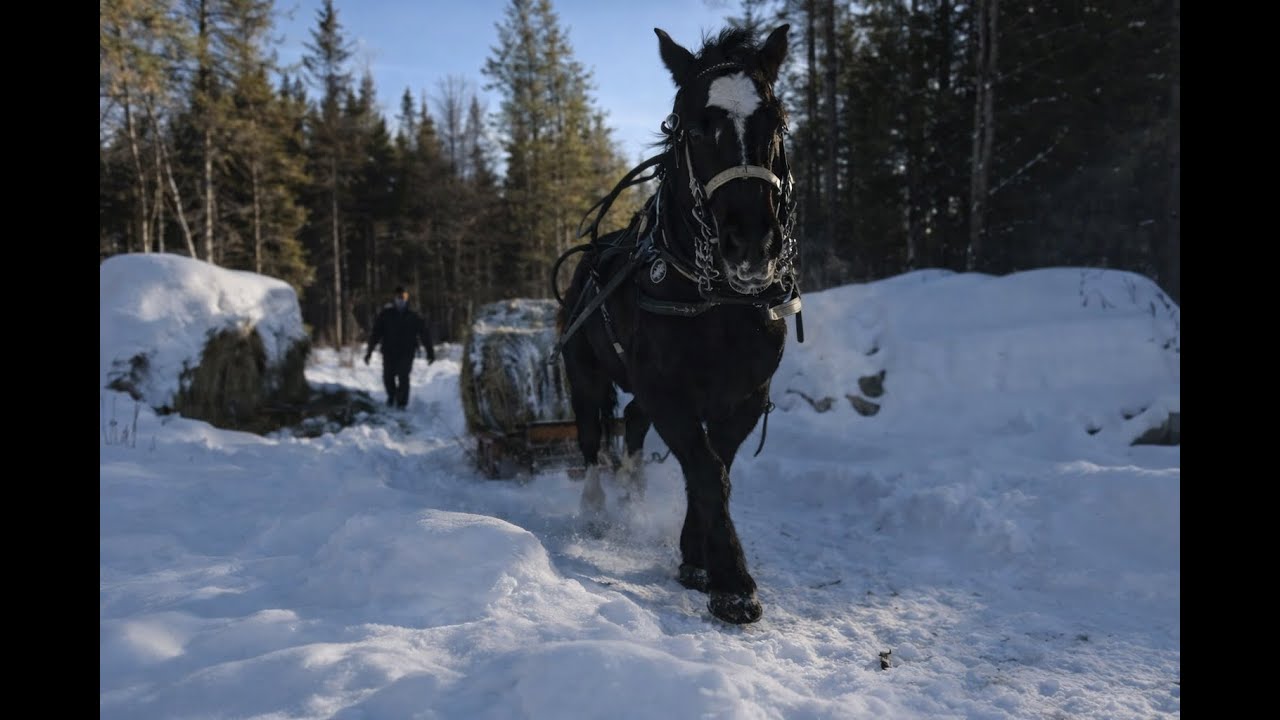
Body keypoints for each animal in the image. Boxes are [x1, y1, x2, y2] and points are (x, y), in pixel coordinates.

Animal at [554, 24, 801, 625]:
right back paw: (597, 510)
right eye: (696, 126)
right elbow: (706, 471)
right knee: (592, 438)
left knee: (633, 425)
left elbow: (714, 468)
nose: (751, 243)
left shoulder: (744, 395)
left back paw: (635, 493)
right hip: (585, 373)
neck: (718, 302)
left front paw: (697, 557)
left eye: (777, 121)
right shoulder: (668, 390)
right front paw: (733, 583)